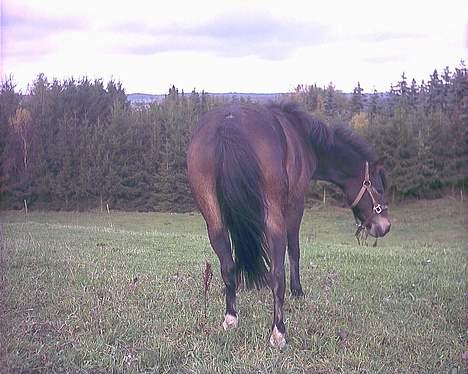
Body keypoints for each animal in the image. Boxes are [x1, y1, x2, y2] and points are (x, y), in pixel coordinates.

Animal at [186, 101, 392, 348]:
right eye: (378, 189)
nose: (385, 226)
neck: (303, 136)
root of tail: (229, 124)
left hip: (213, 218)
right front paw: (298, 291)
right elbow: (295, 249)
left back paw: (231, 318)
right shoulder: (295, 204)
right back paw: (278, 332)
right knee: (277, 273)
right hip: (274, 217)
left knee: (228, 264)